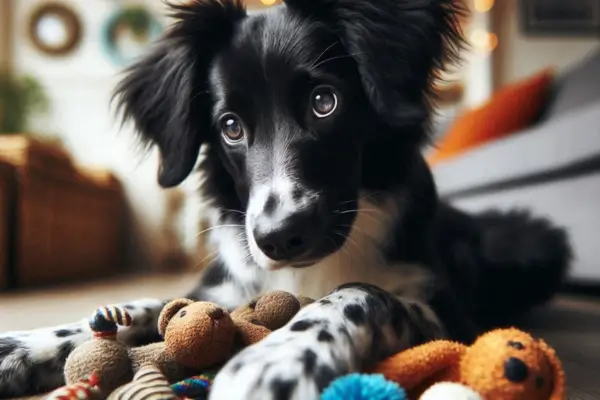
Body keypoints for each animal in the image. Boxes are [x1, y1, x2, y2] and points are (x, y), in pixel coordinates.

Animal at [0, 0, 572, 396]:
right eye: (230, 127)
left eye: (325, 101)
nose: (277, 239)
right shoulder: (228, 285)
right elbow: (149, 304)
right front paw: (26, 344)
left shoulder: (448, 314)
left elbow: (360, 293)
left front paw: (277, 361)